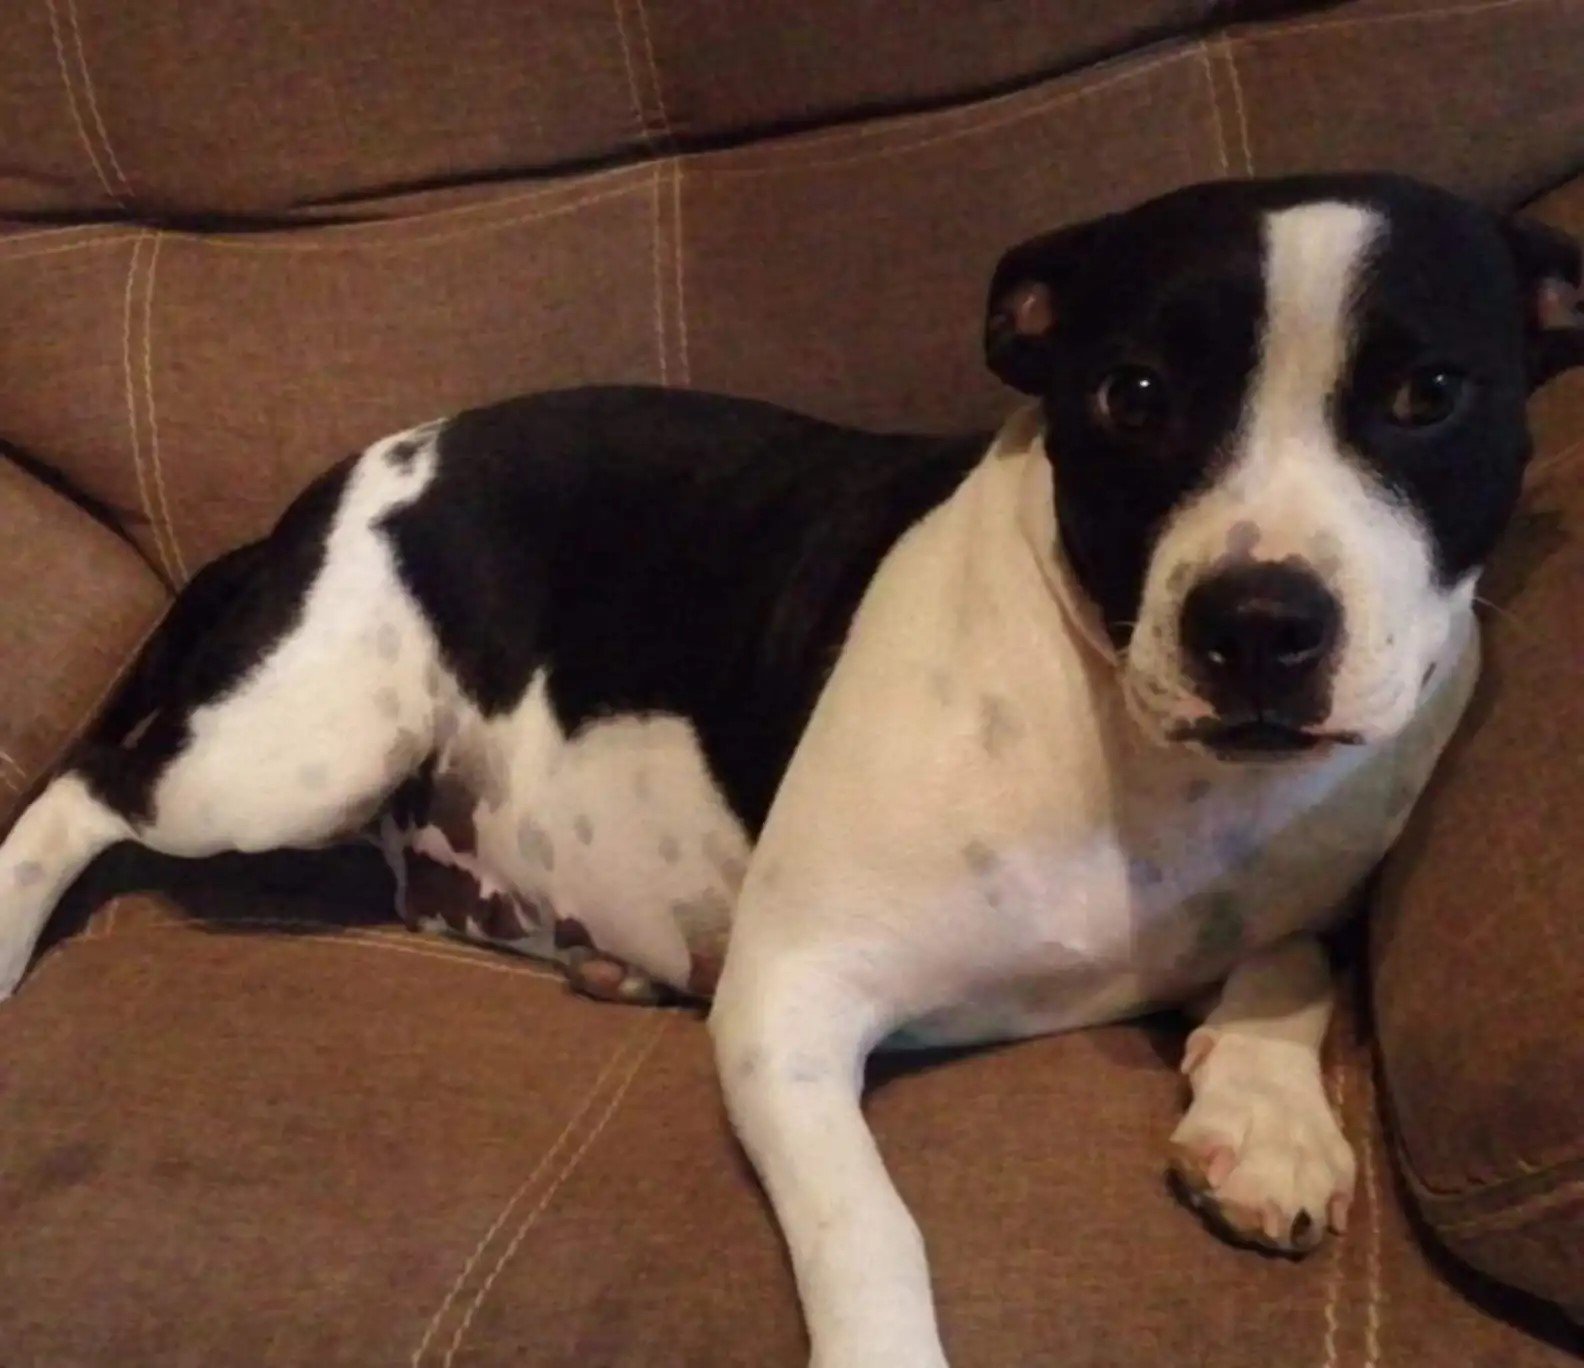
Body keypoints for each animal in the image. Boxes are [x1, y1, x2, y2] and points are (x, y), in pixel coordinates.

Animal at [3, 176, 1584, 1361]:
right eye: (1133, 393)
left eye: (1431, 393)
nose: (1259, 624)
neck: (1143, 759)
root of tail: (341, 477)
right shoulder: (794, 1008)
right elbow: (869, 1226)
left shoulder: (1301, 880)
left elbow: (1294, 955)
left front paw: (1263, 1115)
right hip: (286, 759)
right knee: (86, 789)